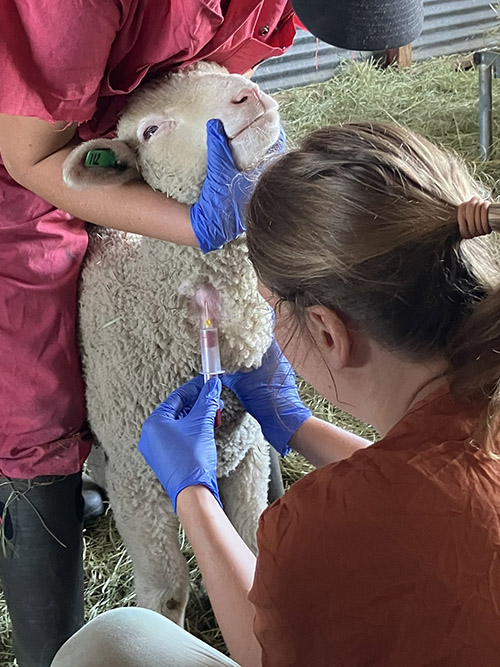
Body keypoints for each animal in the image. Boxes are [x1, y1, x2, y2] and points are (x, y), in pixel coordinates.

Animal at [63, 61, 280, 625]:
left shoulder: (248, 453)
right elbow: (165, 596)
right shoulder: (141, 479)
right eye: (150, 131)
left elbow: (251, 552)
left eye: (220, 68)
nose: (247, 95)